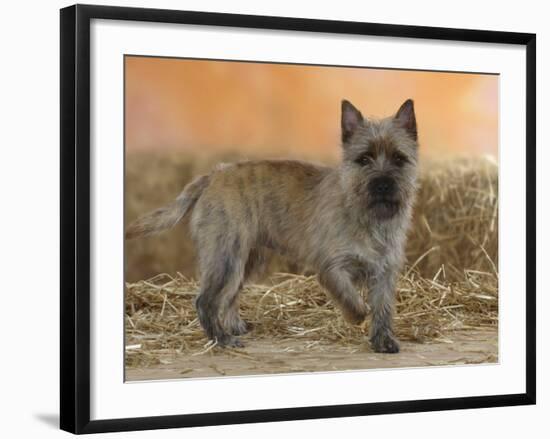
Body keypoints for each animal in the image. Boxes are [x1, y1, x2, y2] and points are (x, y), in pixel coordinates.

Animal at [127, 99, 420, 354]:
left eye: (399, 159)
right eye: (364, 159)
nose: (382, 184)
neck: (370, 219)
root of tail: (213, 175)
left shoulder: (384, 274)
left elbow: (383, 311)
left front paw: (383, 341)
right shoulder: (332, 268)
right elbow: (353, 300)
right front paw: (356, 316)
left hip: (246, 261)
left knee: (229, 297)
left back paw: (233, 327)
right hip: (226, 258)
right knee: (206, 300)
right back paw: (221, 339)